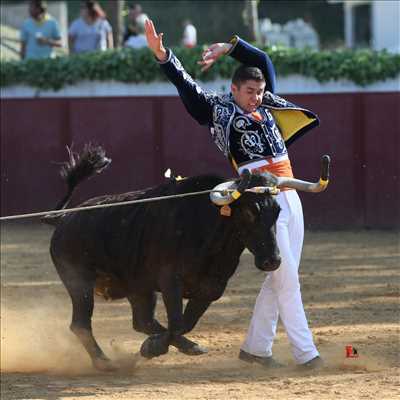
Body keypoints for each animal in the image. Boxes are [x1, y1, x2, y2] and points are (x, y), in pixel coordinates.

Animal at [46, 145, 282, 370]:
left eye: (277, 211)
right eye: (249, 212)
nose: (273, 261)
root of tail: (63, 219)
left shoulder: (212, 288)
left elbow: (185, 323)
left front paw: (154, 347)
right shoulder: (170, 281)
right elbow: (177, 323)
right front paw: (154, 347)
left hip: (138, 287)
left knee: (142, 321)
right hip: (79, 283)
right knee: (81, 324)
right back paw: (105, 362)